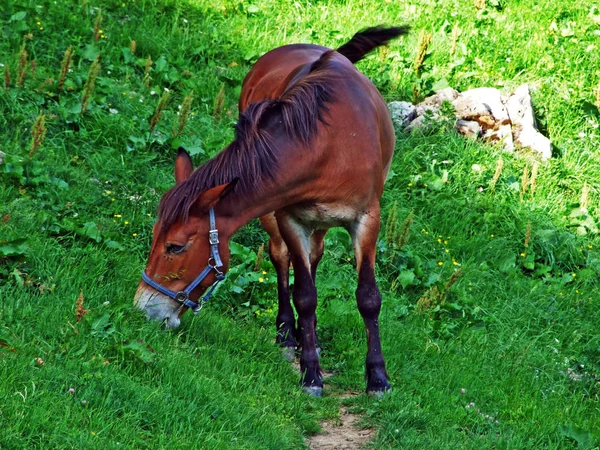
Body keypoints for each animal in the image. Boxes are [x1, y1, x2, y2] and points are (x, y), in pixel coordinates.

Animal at [135, 26, 408, 396]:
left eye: (175, 246)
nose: (143, 307)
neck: (327, 146)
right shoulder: (289, 217)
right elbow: (304, 295)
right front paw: (310, 372)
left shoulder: (367, 220)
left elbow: (368, 297)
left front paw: (378, 377)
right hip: (275, 215)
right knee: (282, 258)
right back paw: (288, 334)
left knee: (315, 255)